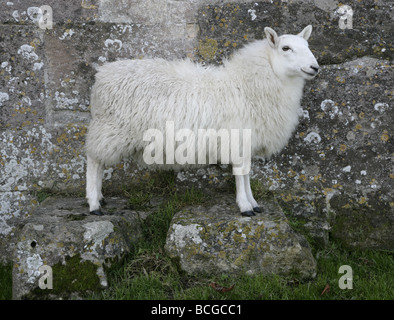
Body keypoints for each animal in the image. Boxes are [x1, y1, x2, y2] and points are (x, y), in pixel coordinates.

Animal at [84, 24, 318, 215]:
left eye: (308, 45)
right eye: (285, 48)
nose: (315, 67)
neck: (247, 84)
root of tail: (102, 75)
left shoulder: (247, 141)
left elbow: (246, 173)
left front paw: (253, 203)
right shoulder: (237, 138)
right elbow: (240, 173)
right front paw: (245, 206)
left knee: (100, 163)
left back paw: (100, 199)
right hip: (110, 129)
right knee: (94, 162)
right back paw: (94, 203)